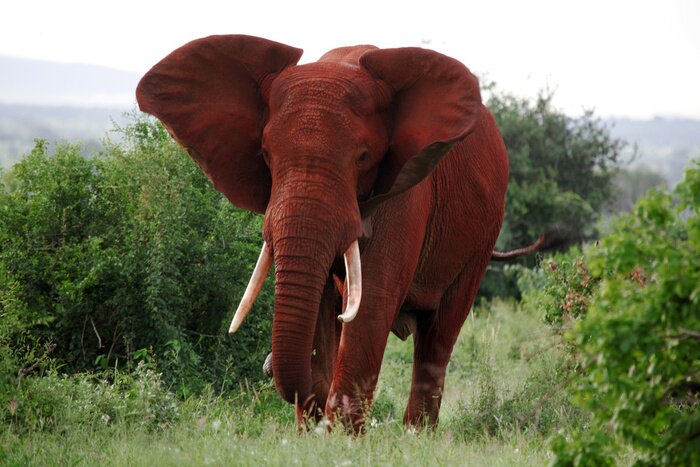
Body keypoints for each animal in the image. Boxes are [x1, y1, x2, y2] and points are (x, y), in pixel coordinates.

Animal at [136, 34, 535, 431]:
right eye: (265, 155)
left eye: (363, 157)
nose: (267, 367)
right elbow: (324, 306)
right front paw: (310, 433)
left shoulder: (406, 192)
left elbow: (372, 301)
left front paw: (338, 436)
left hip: (482, 239)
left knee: (439, 335)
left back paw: (415, 434)